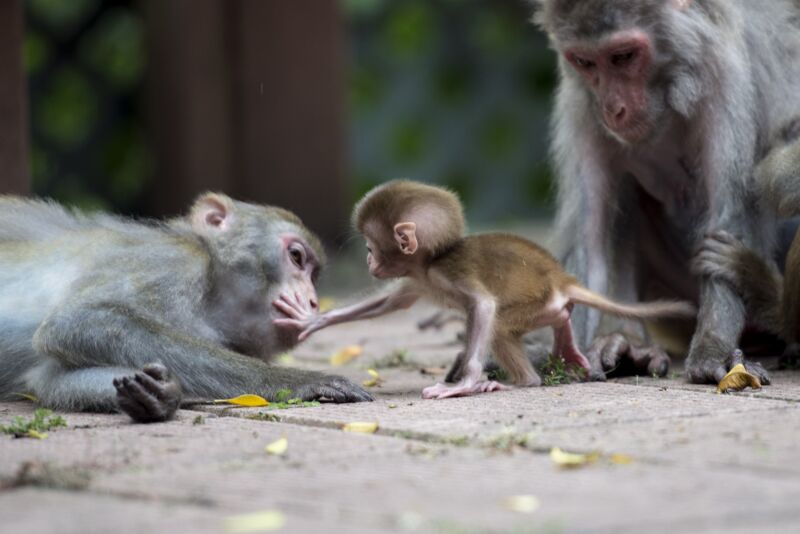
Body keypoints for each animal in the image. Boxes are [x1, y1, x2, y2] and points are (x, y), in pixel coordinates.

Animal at [0, 195, 374, 426]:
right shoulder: (172, 260)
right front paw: (306, 380)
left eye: (315, 276)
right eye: (296, 257)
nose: (313, 301)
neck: (209, 304)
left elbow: (50, 380)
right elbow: (75, 321)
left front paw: (162, 394)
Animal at [270, 182, 692, 400]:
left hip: (533, 303)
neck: (430, 261)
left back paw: (520, 381)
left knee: (501, 325)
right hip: (548, 306)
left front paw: (467, 382)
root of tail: (560, 279)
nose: (370, 261)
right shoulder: (418, 278)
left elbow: (484, 305)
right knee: (554, 317)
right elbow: (389, 302)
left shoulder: (446, 270)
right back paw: (566, 344)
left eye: (372, 246)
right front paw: (313, 319)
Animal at [532, 0, 800, 386]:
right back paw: (627, 344)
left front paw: (712, 349)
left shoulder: (723, 79)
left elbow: (729, 218)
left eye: (623, 56)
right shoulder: (583, 105)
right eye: (584, 61)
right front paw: (567, 355)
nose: (613, 109)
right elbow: (591, 242)